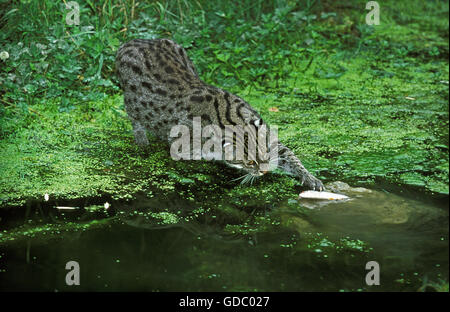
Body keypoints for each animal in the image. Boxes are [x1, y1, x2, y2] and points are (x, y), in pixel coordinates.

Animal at [115, 38, 324, 190]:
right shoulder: (182, 145)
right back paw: (142, 140)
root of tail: (133, 42)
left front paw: (309, 176)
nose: (265, 172)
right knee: (135, 119)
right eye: (249, 162)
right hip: (133, 104)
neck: (234, 121)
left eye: (265, 153)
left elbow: (290, 156)